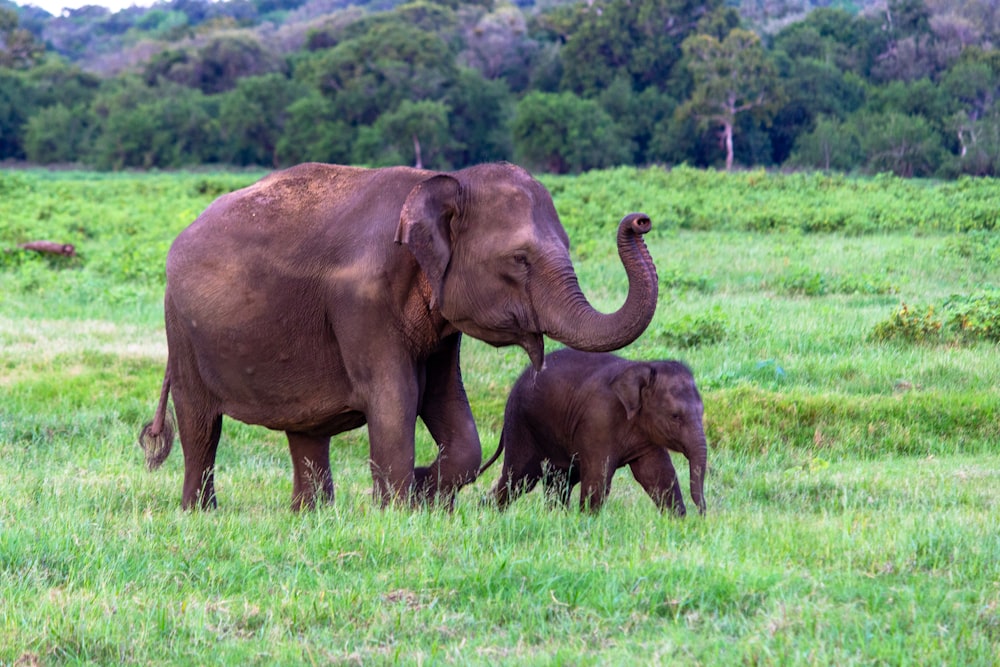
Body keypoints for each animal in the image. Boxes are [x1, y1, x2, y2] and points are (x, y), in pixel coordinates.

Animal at [139, 162, 656, 512]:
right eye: (520, 260)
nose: (640, 219)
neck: (438, 182)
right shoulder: (362, 302)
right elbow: (395, 397)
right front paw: (398, 509)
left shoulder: (441, 326)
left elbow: (449, 404)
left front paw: (426, 492)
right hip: (181, 329)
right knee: (200, 422)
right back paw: (200, 514)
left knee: (305, 430)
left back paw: (310, 516)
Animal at [480, 350, 708, 516]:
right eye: (675, 416)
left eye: (702, 412)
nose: (702, 515)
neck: (641, 367)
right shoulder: (598, 419)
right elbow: (598, 476)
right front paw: (589, 520)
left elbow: (658, 473)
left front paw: (677, 520)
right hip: (522, 426)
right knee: (520, 477)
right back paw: (486, 511)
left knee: (559, 480)